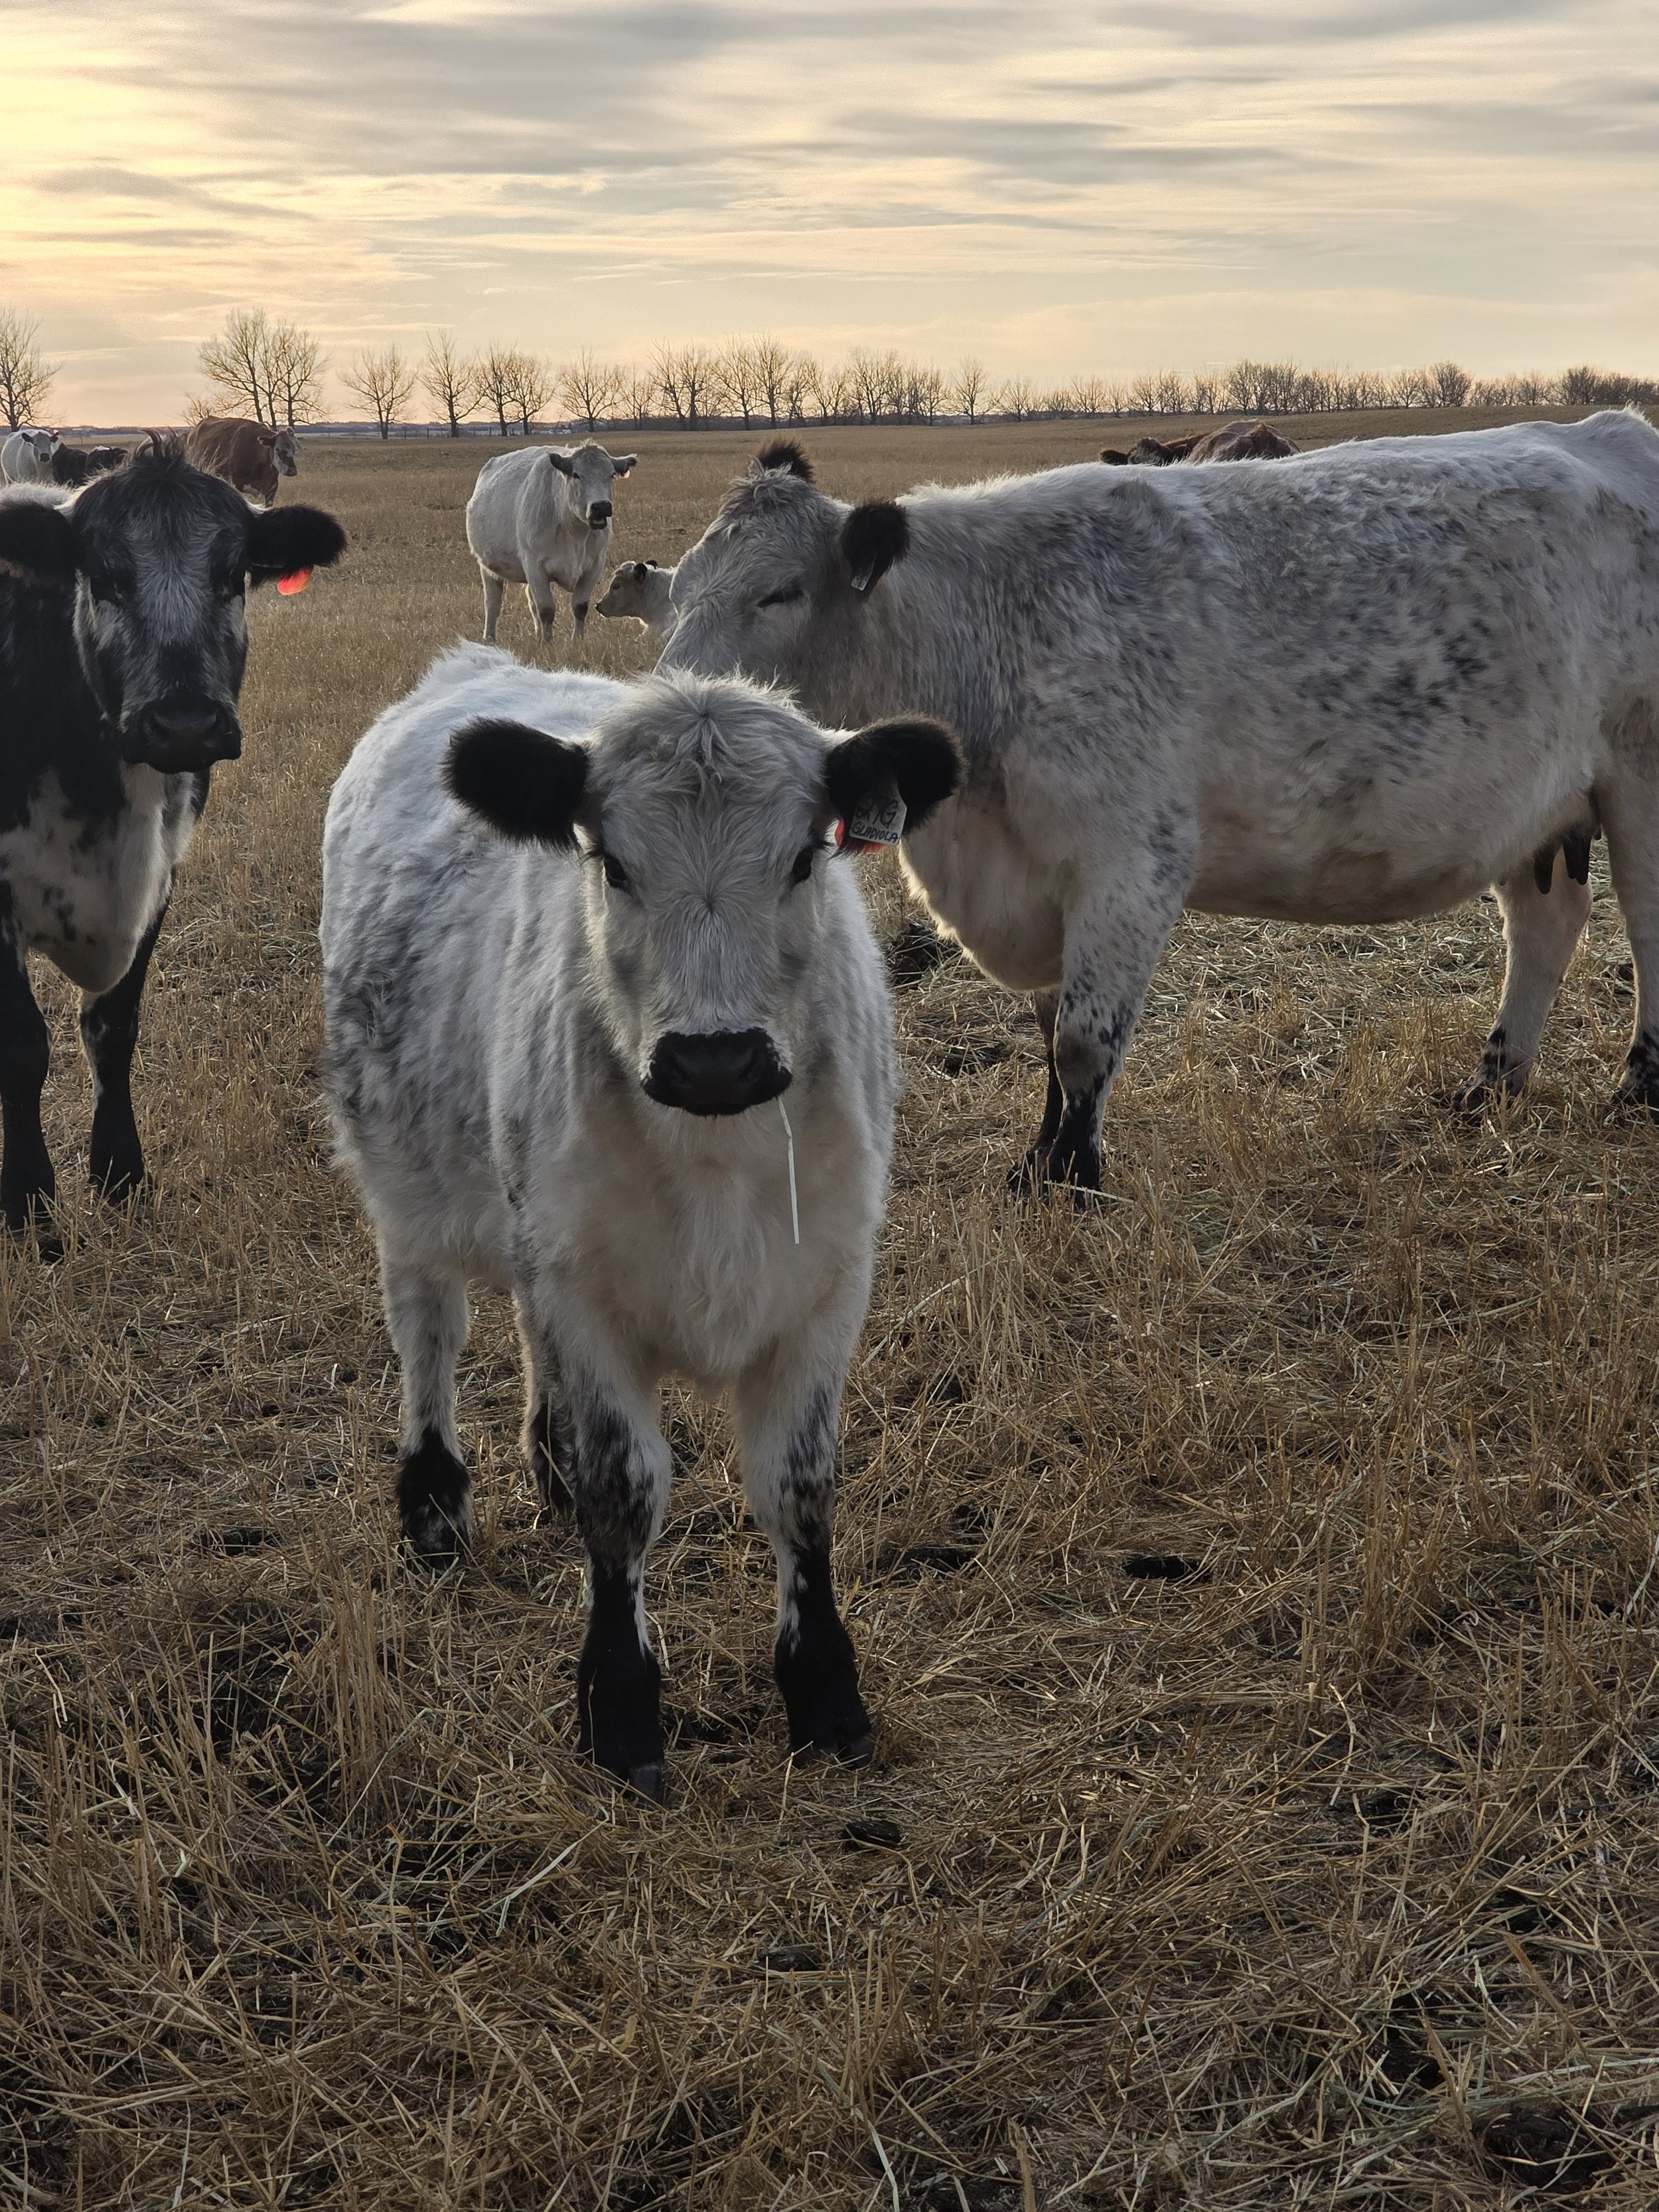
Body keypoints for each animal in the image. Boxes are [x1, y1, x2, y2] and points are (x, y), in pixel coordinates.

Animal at [0, 447, 345, 1252]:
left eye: (233, 574)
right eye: (105, 576)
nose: (184, 724)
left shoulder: (161, 877)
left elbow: (114, 1030)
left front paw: (121, 1176)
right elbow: (24, 1046)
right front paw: (29, 1205)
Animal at [320, 645, 960, 1796]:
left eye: (806, 855)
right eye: (611, 861)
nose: (715, 1059)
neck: (714, 1156)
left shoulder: (826, 1284)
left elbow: (799, 1487)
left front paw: (825, 1693)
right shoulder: (586, 1297)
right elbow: (622, 1492)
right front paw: (619, 1708)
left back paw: (542, 1461)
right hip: (406, 1189)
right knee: (430, 1331)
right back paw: (434, 1502)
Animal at [464, 443, 637, 646]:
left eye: (611, 475)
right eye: (576, 475)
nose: (601, 507)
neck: (574, 532)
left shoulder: (595, 565)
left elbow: (580, 607)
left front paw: (576, 640)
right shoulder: (535, 566)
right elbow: (546, 610)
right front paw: (548, 643)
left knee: (531, 602)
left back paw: (538, 634)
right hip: (488, 568)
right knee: (493, 603)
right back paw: (490, 637)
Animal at [658, 420, 1659, 1195]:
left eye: (779, 592)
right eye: (672, 590)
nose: (675, 698)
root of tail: (1614, 428)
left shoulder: (1130, 862)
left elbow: (1082, 1042)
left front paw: (1073, 1181)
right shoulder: (1042, 875)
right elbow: (1048, 1030)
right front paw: (1038, 1161)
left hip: (1640, 773)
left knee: (1647, 927)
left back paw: (1637, 1086)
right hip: (1539, 807)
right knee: (1545, 924)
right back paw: (1493, 1084)